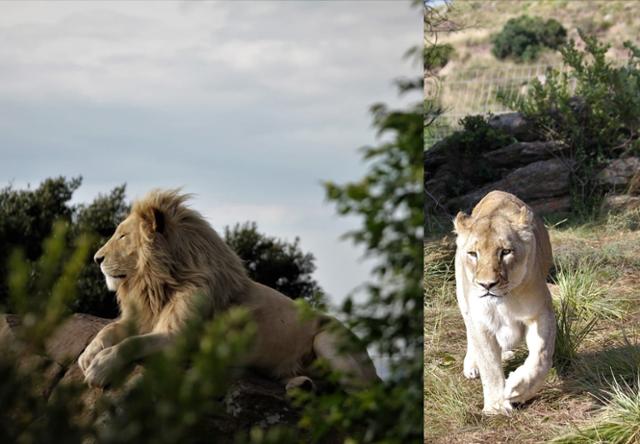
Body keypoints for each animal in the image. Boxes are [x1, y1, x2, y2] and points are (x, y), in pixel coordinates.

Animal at [80, 189, 380, 390]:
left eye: (122, 236)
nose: (96, 258)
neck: (155, 284)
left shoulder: (179, 339)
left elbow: (133, 343)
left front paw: (100, 367)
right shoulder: (143, 317)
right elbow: (110, 329)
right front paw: (89, 354)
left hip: (329, 340)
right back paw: (301, 385)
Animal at [456, 190, 556, 412]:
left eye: (505, 252)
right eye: (473, 254)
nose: (487, 285)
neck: (503, 302)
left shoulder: (540, 311)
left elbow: (541, 355)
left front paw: (517, 388)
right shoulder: (481, 323)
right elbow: (490, 367)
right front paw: (496, 407)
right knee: (469, 333)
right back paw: (472, 365)